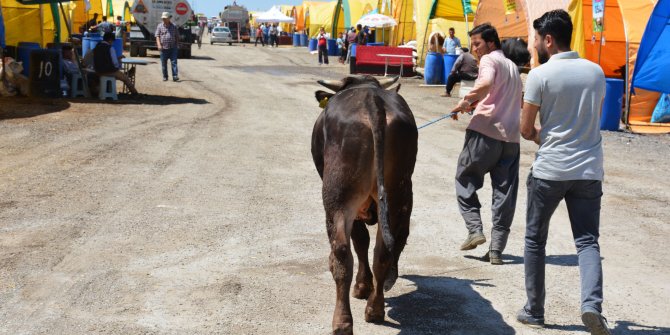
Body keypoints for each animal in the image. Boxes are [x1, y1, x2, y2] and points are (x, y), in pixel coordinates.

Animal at [312, 75, 418, 334]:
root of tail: (373, 101)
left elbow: (359, 241)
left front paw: (361, 286)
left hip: (338, 199)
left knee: (342, 252)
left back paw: (342, 321)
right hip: (397, 196)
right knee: (383, 252)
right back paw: (375, 309)